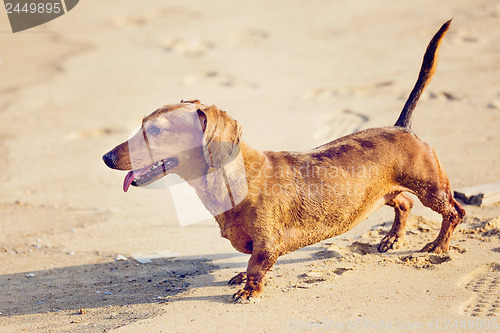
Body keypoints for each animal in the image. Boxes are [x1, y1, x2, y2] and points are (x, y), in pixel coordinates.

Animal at [102, 20, 464, 300]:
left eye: (156, 130)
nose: (105, 157)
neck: (233, 179)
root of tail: (402, 126)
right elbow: (249, 263)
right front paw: (240, 279)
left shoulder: (268, 243)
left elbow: (255, 264)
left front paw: (249, 290)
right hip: (384, 192)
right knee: (403, 203)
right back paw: (391, 239)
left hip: (431, 188)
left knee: (454, 212)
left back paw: (438, 245)